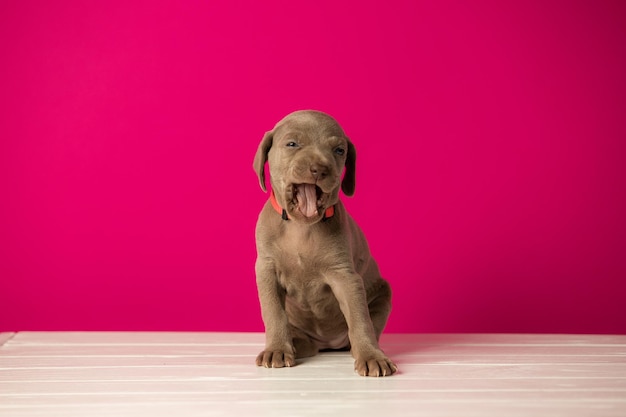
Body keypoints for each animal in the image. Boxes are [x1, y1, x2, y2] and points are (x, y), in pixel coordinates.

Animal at [252, 109, 394, 376]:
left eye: (339, 150)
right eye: (292, 144)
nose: (318, 169)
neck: (301, 228)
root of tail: (327, 345)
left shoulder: (345, 276)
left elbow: (360, 319)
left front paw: (371, 356)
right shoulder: (266, 270)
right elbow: (274, 313)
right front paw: (276, 349)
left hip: (383, 293)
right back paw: (296, 344)